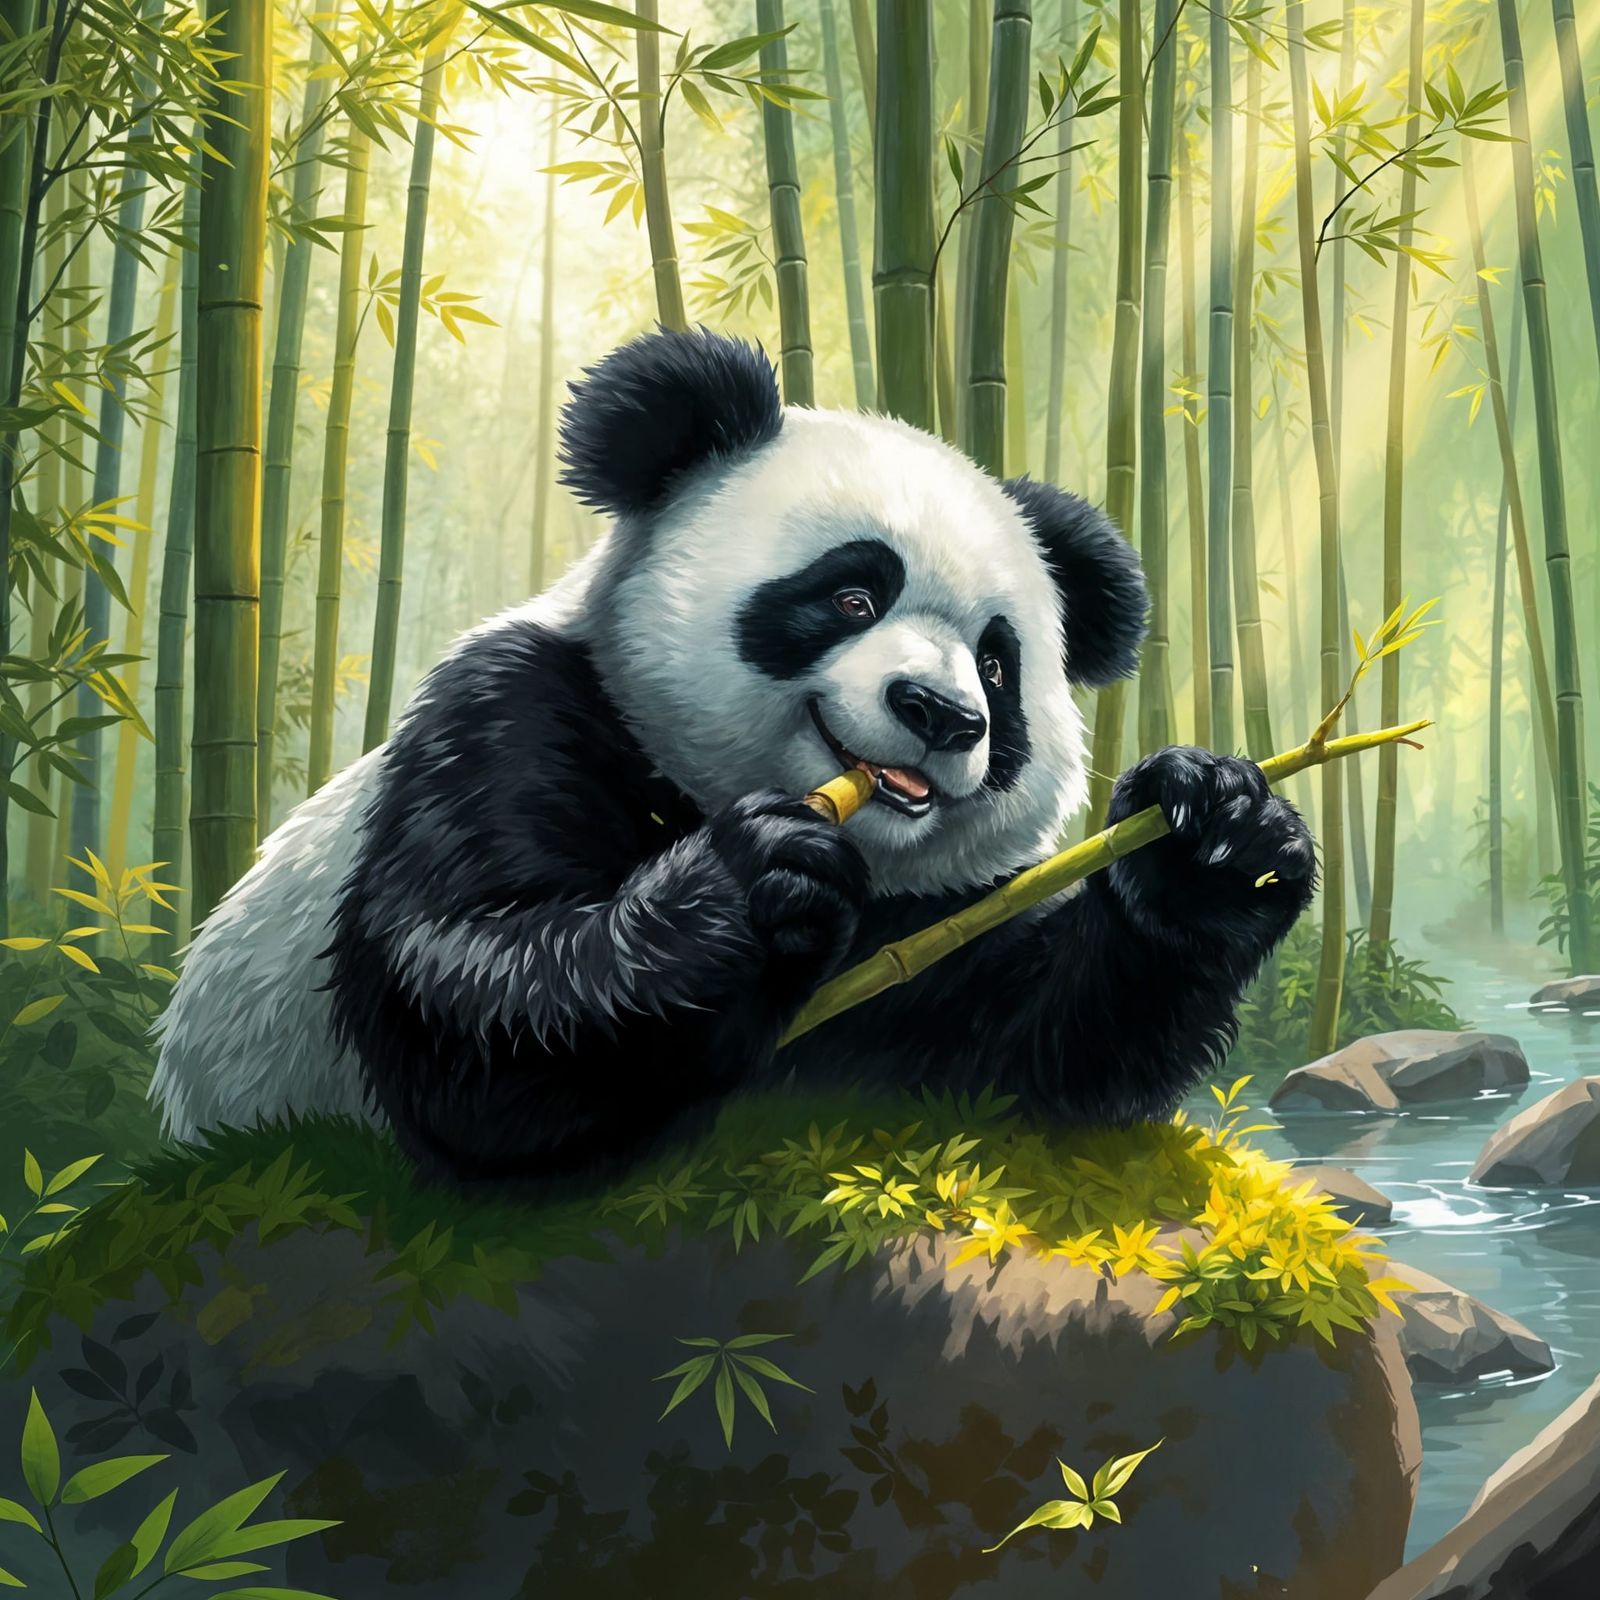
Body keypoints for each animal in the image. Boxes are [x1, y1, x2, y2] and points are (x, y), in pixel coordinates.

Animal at [151, 328, 1315, 1184]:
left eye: (996, 664)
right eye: (852, 595)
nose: (942, 713)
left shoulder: (922, 929)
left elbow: (1028, 1056)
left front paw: (1213, 838)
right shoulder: (506, 723)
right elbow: (464, 1009)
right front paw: (753, 887)